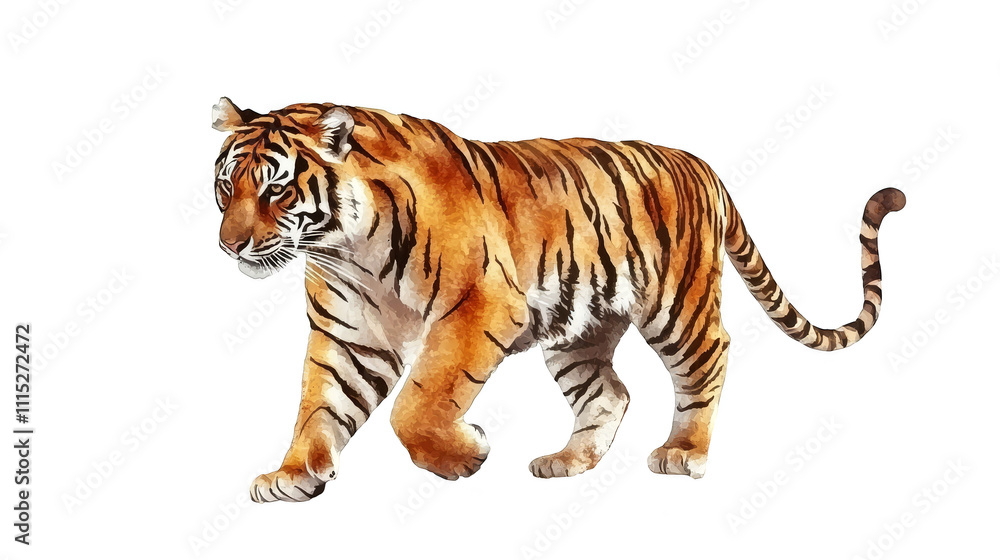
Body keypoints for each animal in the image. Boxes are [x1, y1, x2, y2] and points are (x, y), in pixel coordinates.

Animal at [210, 97, 904, 503]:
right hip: (581, 327)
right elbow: (318, 405)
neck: (344, 247)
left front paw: (465, 454)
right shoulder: (348, 335)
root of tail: (702, 166)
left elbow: (420, 402)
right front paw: (293, 474)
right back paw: (567, 463)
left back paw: (684, 453)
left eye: (274, 188)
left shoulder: (478, 305)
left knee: (709, 359)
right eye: (225, 186)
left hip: (678, 304)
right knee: (610, 393)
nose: (229, 245)